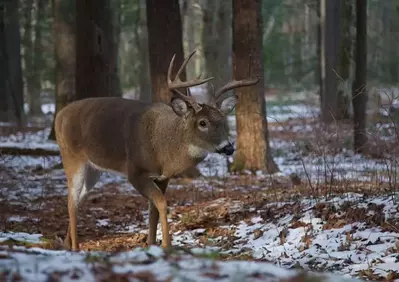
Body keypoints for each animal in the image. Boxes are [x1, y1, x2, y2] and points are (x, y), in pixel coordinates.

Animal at [56, 49, 260, 250]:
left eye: (223, 121)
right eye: (203, 123)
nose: (228, 147)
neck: (163, 151)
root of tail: (59, 115)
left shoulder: (163, 177)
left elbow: (153, 210)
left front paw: (152, 244)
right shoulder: (135, 172)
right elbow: (162, 203)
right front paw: (167, 245)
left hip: (94, 168)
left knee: (79, 198)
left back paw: (66, 243)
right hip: (71, 156)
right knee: (71, 201)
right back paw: (75, 247)